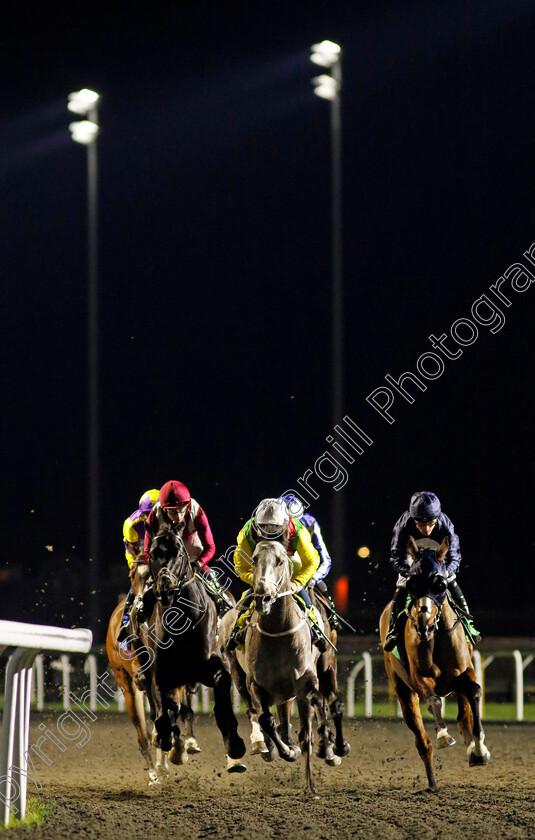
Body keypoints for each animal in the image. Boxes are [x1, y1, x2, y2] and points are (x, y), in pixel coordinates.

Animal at [218, 540, 336, 796]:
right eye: (254, 559)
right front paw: (284, 750)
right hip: (237, 672)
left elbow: (310, 721)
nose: (262, 597)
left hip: (323, 667)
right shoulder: (257, 685)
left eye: (281, 561)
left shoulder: (306, 683)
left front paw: (312, 779)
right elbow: (265, 719)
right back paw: (264, 744)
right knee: (256, 712)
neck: (278, 632)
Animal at [382, 540, 490, 796]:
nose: (424, 623)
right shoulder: (419, 678)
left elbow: (474, 692)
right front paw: (443, 736)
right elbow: (433, 701)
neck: (437, 636)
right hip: (403, 691)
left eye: (439, 583)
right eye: (412, 583)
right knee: (422, 741)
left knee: (463, 715)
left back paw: (471, 746)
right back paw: (432, 783)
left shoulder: (464, 672)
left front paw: (479, 751)